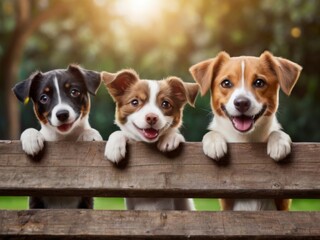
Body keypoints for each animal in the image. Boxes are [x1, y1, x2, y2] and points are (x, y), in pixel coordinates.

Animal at [12, 63, 102, 208]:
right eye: (44, 98)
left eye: (74, 92)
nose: (62, 114)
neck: (63, 138)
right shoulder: (35, 200)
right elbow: (29, 130)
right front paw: (31, 139)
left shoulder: (87, 200)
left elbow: (90, 131)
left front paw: (90, 135)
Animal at [101, 69, 199, 210]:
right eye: (134, 102)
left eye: (165, 104)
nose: (152, 117)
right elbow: (119, 133)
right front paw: (114, 146)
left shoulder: (185, 203)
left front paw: (170, 137)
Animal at [190, 51, 302, 211]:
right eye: (226, 83)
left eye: (259, 82)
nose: (241, 102)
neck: (245, 139)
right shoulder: (225, 201)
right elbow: (212, 133)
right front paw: (214, 142)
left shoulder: (283, 202)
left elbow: (276, 132)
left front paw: (279, 142)